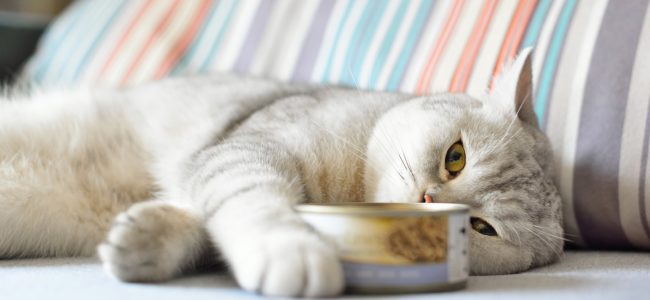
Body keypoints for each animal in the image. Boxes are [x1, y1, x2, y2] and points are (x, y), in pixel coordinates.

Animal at [0, 49, 560, 298]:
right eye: (456, 157)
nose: (427, 200)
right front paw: (293, 251)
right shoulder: (248, 150)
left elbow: (200, 224)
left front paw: (146, 239)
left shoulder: (216, 168)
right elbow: (256, 201)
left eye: (480, 228)